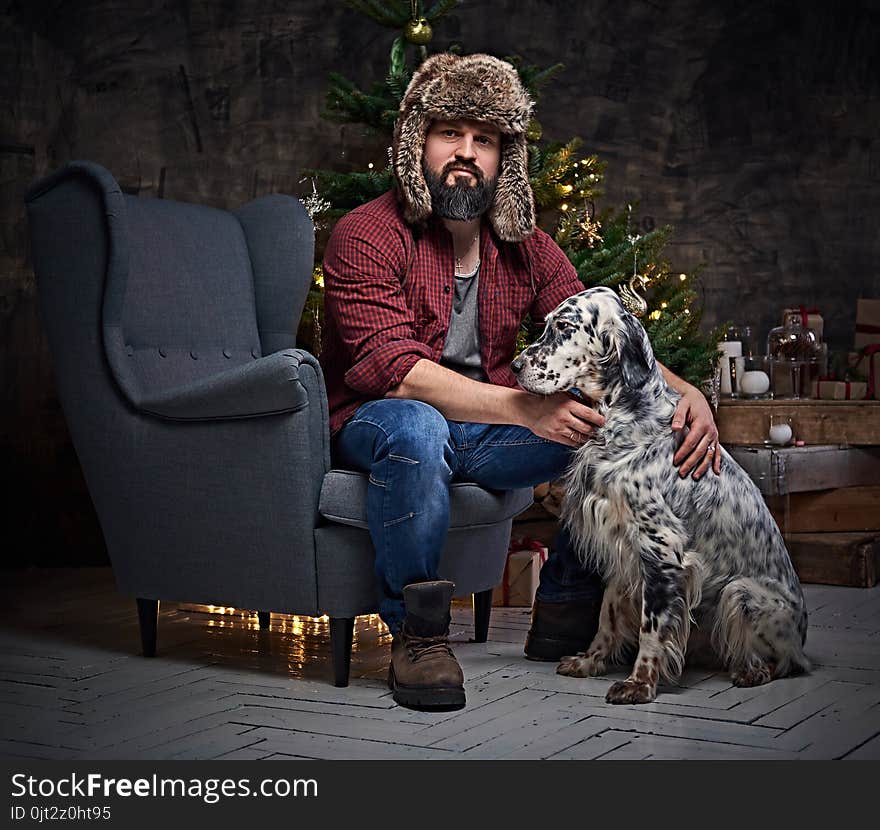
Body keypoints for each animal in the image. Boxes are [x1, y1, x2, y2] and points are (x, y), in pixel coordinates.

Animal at [512, 290, 808, 704]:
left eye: (565, 326)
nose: (514, 366)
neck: (624, 416)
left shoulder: (661, 547)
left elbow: (651, 627)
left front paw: (639, 684)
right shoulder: (622, 547)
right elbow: (608, 614)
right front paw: (590, 661)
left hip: (740, 592)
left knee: (783, 663)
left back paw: (750, 670)